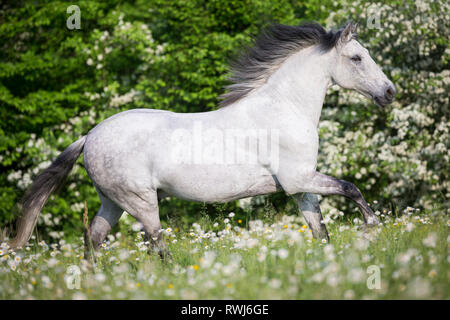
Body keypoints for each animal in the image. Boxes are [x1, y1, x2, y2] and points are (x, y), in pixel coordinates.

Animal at [9, 22, 394, 258]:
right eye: (357, 58)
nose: (389, 92)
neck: (285, 107)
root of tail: (90, 136)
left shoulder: (300, 187)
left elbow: (320, 230)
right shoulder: (298, 178)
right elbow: (351, 188)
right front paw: (372, 228)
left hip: (112, 202)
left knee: (94, 239)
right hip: (141, 202)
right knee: (157, 244)